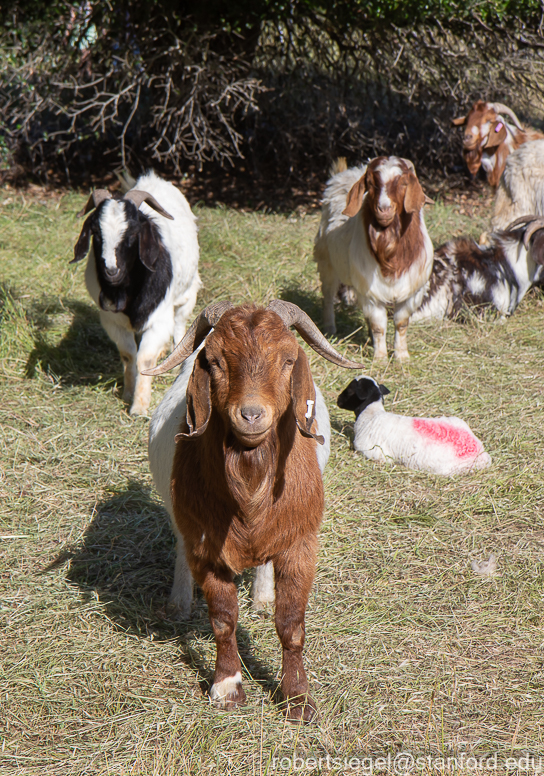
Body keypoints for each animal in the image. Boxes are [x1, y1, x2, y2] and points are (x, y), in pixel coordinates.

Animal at [71, 167, 201, 416]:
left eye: (132, 232)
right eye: (96, 232)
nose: (111, 271)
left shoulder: (160, 318)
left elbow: (145, 358)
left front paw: (139, 407)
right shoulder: (112, 321)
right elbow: (129, 354)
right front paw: (128, 392)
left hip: (187, 294)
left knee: (180, 324)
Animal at [147, 298, 364, 720]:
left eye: (287, 359)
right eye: (214, 360)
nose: (250, 415)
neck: (250, 489)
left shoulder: (300, 541)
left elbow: (291, 623)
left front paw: (297, 698)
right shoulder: (207, 545)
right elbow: (222, 619)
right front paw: (227, 687)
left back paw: (263, 597)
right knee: (180, 548)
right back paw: (179, 602)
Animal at [314, 158, 434, 364]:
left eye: (403, 183)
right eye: (370, 184)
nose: (384, 209)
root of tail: (345, 174)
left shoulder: (412, 291)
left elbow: (401, 323)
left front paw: (401, 356)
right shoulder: (371, 293)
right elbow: (379, 325)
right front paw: (380, 358)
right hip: (326, 262)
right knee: (328, 295)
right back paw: (330, 329)